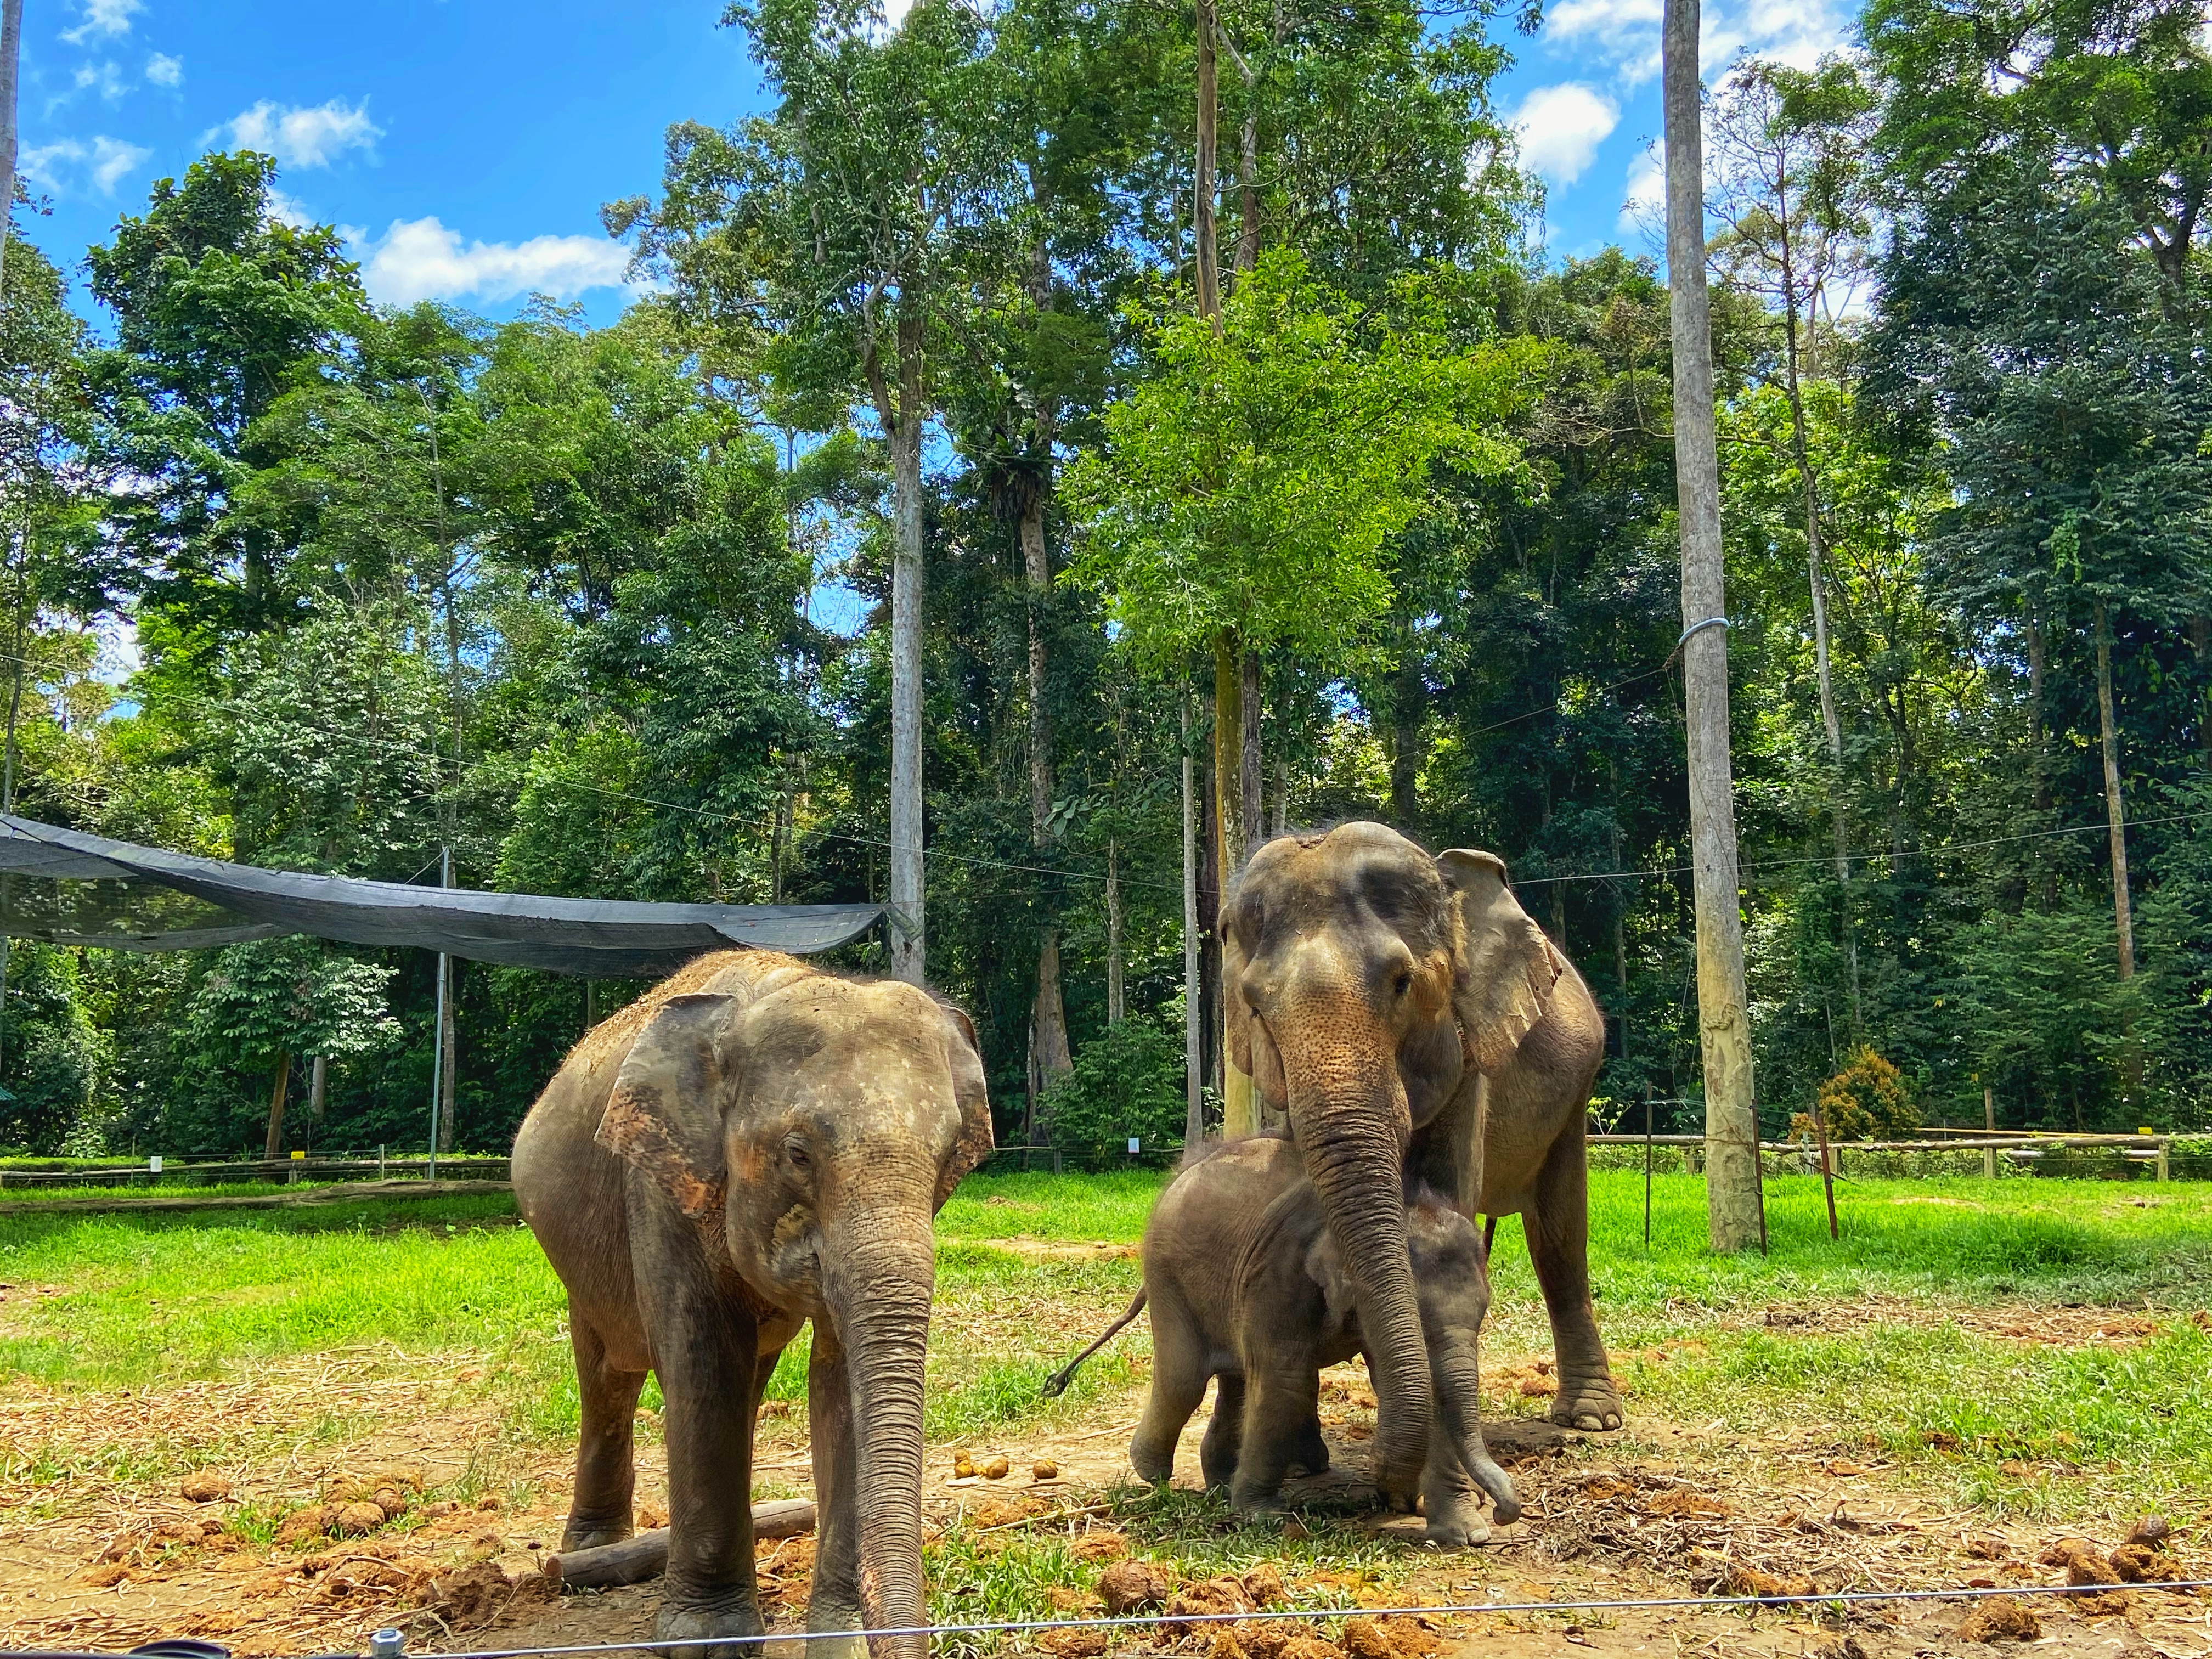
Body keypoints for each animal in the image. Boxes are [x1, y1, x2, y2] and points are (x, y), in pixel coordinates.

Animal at [511, 949, 993, 1659]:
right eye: (797, 1154)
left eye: (949, 1156)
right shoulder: (659, 1186)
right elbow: (703, 1365)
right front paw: (706, 1643)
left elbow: (839, 1382)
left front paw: (841, 1642)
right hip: (580, 1262)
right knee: (609, 1375)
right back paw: (589, 1552)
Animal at [1125, 1134, 1520, 1543]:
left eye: (1483, 1310)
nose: (1503, 1511)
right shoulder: (1278, 1272)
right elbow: (1285, 1380)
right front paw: (1263, 1516)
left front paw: (1465, 1534)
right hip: (1166, 1275)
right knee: (1184, 1381)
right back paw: (1152, 1473)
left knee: (1233, 1379)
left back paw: (1220, 1485)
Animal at [1220, 821, 1620, 1509]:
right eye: (1255, 1004)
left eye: (1402, 983)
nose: (1383, 1482)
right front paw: (1306, 1465)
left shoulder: (1470, 1060)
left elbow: (1450, 1194)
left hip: (1577, 1090)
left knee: (1559, 1236)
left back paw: (1591, 1418)